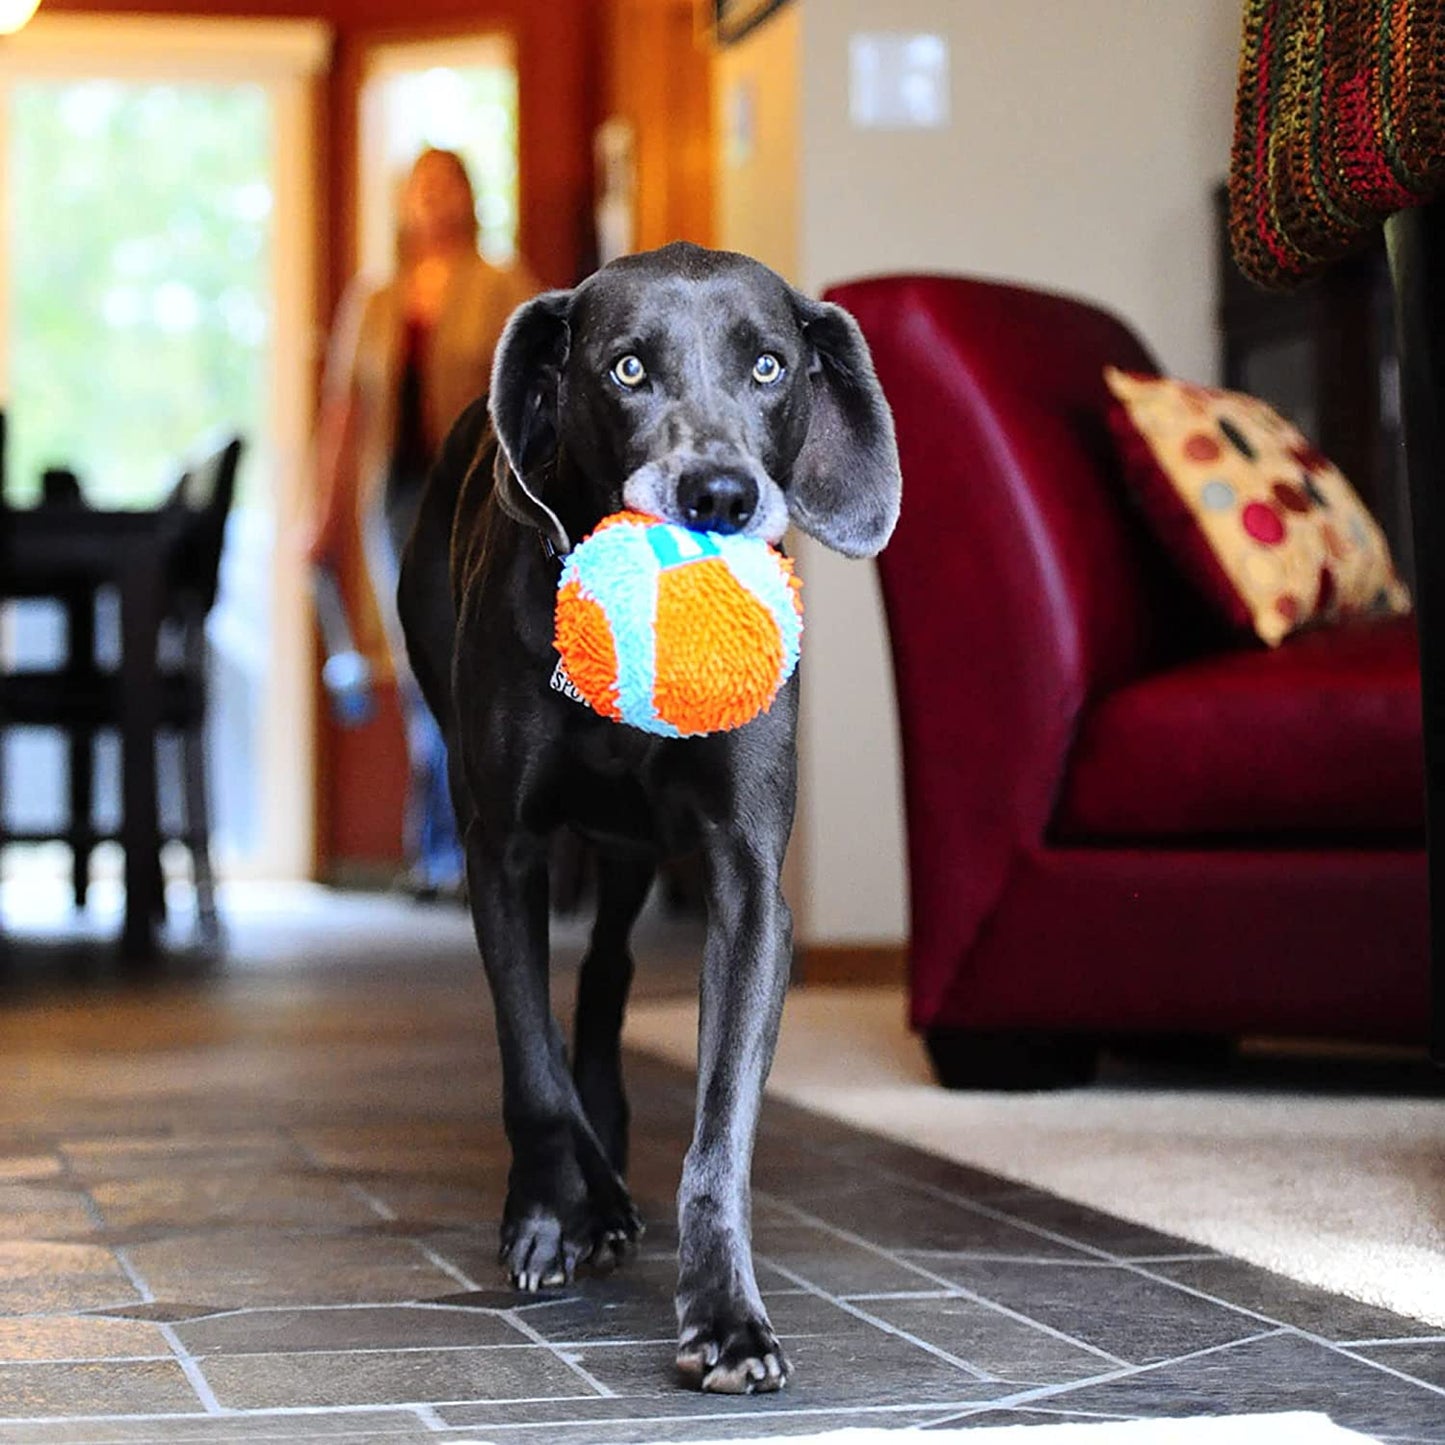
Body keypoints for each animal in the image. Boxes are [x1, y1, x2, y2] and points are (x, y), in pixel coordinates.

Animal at [401, 242, 895, 1392]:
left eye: (768, 367)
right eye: (626, 369)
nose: (718, 493)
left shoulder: (748, 885)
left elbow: (719, 1130)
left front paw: (726, 1317)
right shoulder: (501, 850)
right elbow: (527, 1060)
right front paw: (547, 1215)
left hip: (631, 850)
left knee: (609, 971)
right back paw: (592, 1192)